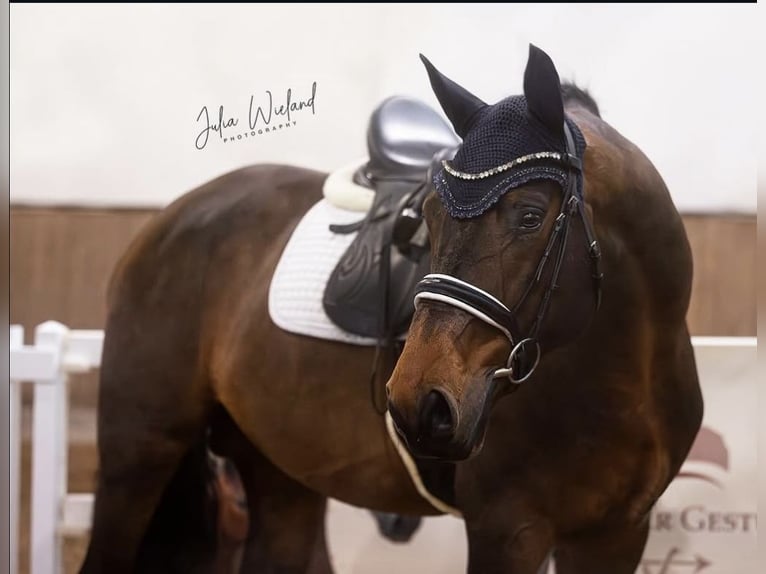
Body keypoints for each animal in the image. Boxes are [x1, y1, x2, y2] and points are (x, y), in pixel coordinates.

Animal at [80, 45, 702, 574]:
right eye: (428, 213)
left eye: (529, 216)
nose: (417, 401)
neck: (621, 376)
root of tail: (173, 216)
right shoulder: (508, 527)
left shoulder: (617, 535)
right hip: (139, 451)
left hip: (280, 472)